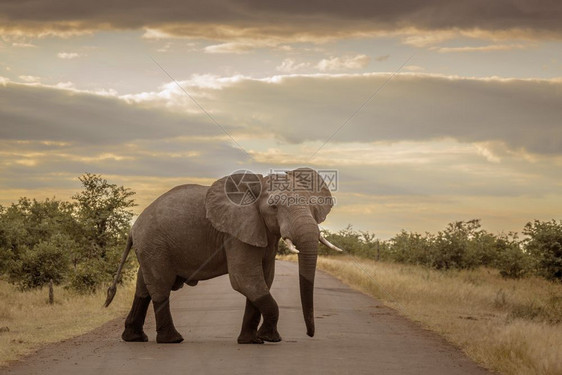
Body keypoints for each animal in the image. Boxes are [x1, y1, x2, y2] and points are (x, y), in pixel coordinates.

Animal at [105, 169, 342, 346]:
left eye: (312, 206)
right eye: (274, 207)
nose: (310, 334)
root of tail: (133, 228)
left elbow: (264, 279)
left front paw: (252, 341)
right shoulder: (236, 232)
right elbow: (245, 279)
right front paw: (269, 338)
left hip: (151, 248)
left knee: (143, 286)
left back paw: (134, 338)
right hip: (154, 244)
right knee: (160, 285)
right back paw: (172, 340)